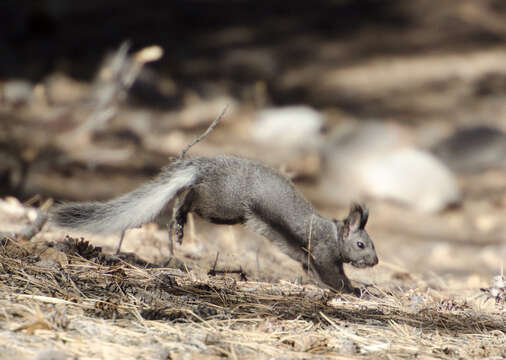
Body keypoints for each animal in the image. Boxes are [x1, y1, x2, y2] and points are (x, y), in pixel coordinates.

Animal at [52, 156, 376, 294]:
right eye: (361, 244)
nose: (374, 261)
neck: (334, 234)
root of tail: (206, 167)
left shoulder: (309, 257)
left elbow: (314, 272)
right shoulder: (323, 251)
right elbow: (333, 274)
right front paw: (352, 290)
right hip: (224, 205)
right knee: (193, 195)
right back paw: (179, 216)